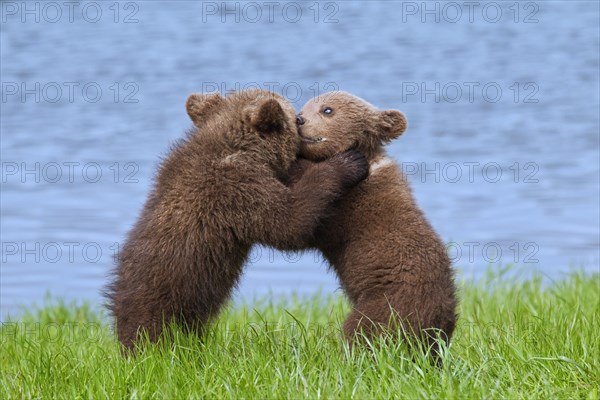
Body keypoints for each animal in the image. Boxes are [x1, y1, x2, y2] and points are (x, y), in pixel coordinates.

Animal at [107, 89, 370, 348]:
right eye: (295, 118)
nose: (300, 118)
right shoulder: (237, 188)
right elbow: (287, 221)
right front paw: (347, 163)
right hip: (168, 295)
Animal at [292, 91, 458, 356]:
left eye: (327, 110)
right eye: (305, 106)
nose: (299, 119)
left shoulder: (350, 207)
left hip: (389, 304)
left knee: (363, 331)